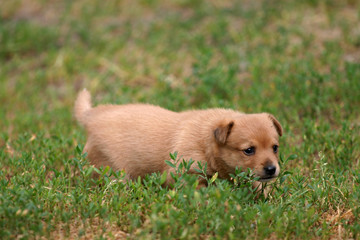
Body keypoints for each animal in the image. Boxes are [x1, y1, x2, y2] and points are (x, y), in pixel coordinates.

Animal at [74, 89, 282, 186]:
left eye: (275, 148)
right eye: (249, 150)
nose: (271, 169)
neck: (205, 142)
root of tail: (92, 115)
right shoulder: (184, 173)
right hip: (112, 170)